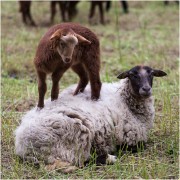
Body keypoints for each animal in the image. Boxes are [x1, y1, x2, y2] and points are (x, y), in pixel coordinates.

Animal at [14, 65, 167, 168]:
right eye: (132, 75)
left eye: (152, 74)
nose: (146, 89)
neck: (124, 99)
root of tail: (22, 144)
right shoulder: (131, 139)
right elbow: (138, 146)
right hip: (74, 139)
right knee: (82, 160)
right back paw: (110, 158)